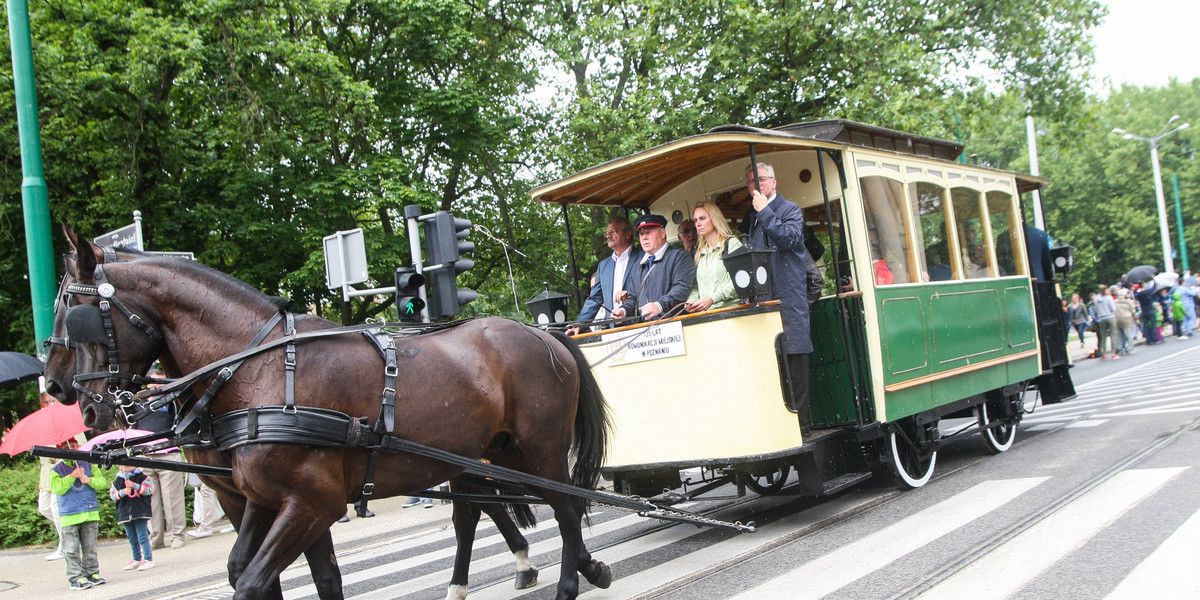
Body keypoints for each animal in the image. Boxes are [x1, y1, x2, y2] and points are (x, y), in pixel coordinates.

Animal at [44, 229, 609, 600]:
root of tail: (542, 333)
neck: (259, 368)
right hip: (492, 453)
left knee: (564, 507)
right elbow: (272, 571)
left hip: (538, 447)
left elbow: (256, 581)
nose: (68, 395)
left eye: (74, 313)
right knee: (500, 510)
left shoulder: (313, 502)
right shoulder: (264, 497)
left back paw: (568, 581)